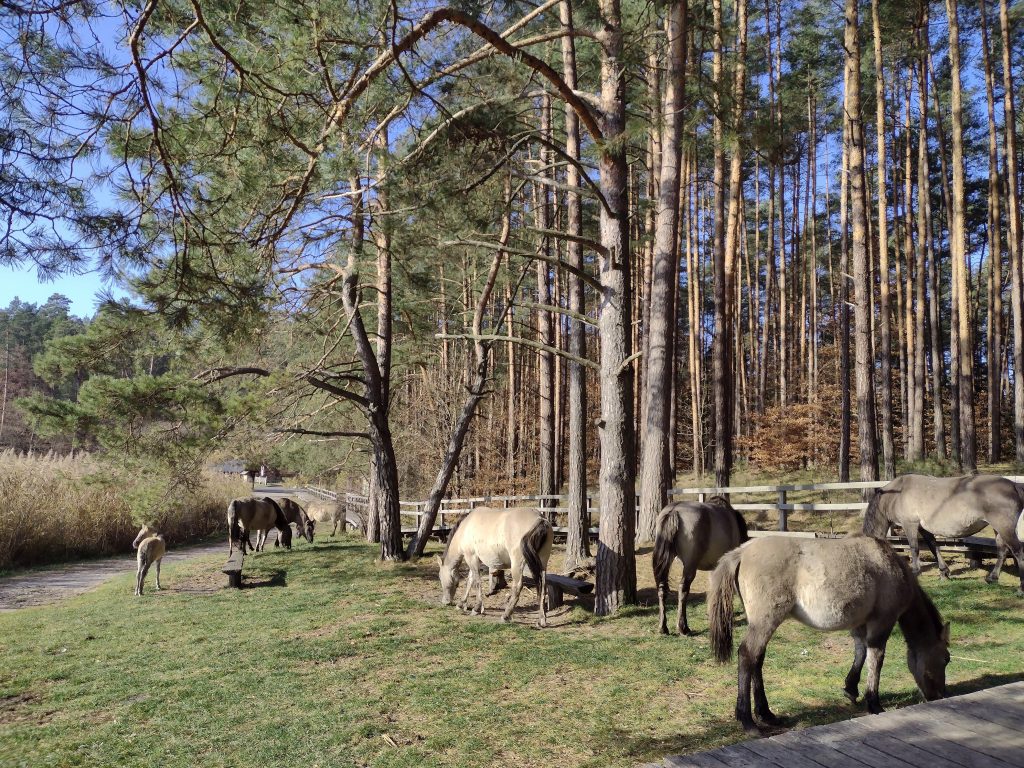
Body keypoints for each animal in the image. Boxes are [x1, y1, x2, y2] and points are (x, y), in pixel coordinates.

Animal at [651, 495, 749, 634]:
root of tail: (674, 510)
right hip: (690, 565)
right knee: (683, 589)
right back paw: (683, 627)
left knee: (662, 588)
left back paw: (663, 627)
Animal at [708, 536, 946, 741]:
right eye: (946, 659)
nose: (940, 695)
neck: (889, 563)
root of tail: (742, 551)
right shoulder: (882, 622)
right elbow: (875, 658)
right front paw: (874, 703)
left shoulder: (861, 623)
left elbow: (860, 651)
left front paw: (851, 689)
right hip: (765, 621)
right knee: (747, 655)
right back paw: (748, 722)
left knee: (757, 659)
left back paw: (766, 714)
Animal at [864, 473, 1024, 593]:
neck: (897, 494)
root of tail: (1013, 486)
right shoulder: (923, 528)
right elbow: (933, 547)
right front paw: (944, 573)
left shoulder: (910, 524)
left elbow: (914, 548)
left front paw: (915, 572)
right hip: (998, 529)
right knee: (1002, 551)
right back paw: (992, 578)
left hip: (1004, 527)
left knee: (1018, 551)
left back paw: (1020, 589)